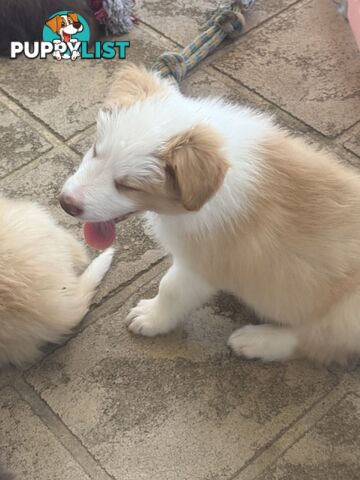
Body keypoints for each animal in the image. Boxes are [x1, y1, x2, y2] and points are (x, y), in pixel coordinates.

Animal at [60, 63, 360, 364]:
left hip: (345, 311)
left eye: (127, 185)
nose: (65, 203)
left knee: (316, 340)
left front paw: (151, 318)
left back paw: (256, 340)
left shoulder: (201, 263)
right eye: (95, 151)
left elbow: (170, 288)